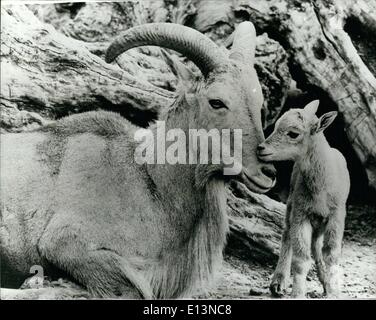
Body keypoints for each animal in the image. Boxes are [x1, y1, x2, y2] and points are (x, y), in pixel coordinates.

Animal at [258, 101, 350, 298]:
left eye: (293, 133)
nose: (261, 148)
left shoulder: (337, 215)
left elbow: (331, 254)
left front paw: (333, 291)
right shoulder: (301, 213)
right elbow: (301, 260)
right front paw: (297, 293)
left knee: (316, 246)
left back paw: (325, 283)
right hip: (292, 202)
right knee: (287, 233)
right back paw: (278, 282)